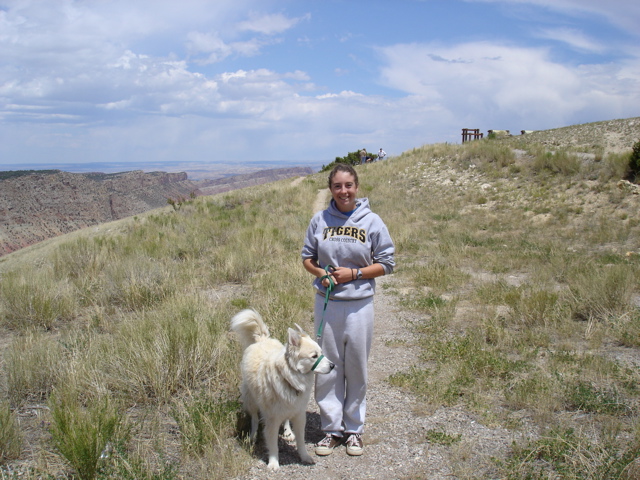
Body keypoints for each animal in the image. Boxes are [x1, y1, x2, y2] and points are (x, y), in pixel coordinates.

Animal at [229, 308, 332, 468]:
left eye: (321, 353)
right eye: (314, 356)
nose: (333, 366)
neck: (289, 377)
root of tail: (262, 339)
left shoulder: (299, 414)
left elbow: (301, 441)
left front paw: (304, 456)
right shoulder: (272, 419)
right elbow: (273, 445)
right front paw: (273, 463)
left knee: (286, 419)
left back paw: (288, 432)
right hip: (251, 399)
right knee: (254, 419)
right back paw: (252, 436)